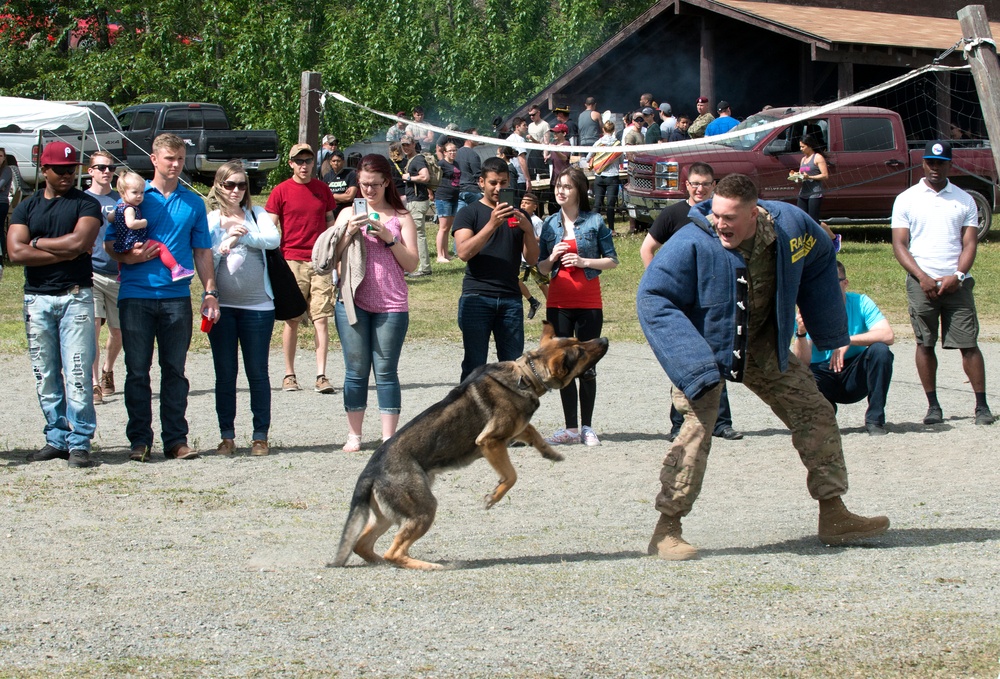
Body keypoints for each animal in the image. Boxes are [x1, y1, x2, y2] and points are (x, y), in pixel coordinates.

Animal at [332, 322, 604, 568]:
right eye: (580, 351)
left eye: (578, 339)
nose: (604, 339)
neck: (525, 375)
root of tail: (370, 472)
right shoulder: (490, 441)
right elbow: (511, 476)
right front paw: (493, 497)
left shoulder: (514, 429)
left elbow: (532, 433)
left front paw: (550, 453)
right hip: (423, 510)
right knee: (393, 552)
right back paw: (428, 566)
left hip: (387, 517)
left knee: (362, 545)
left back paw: (381, 562)